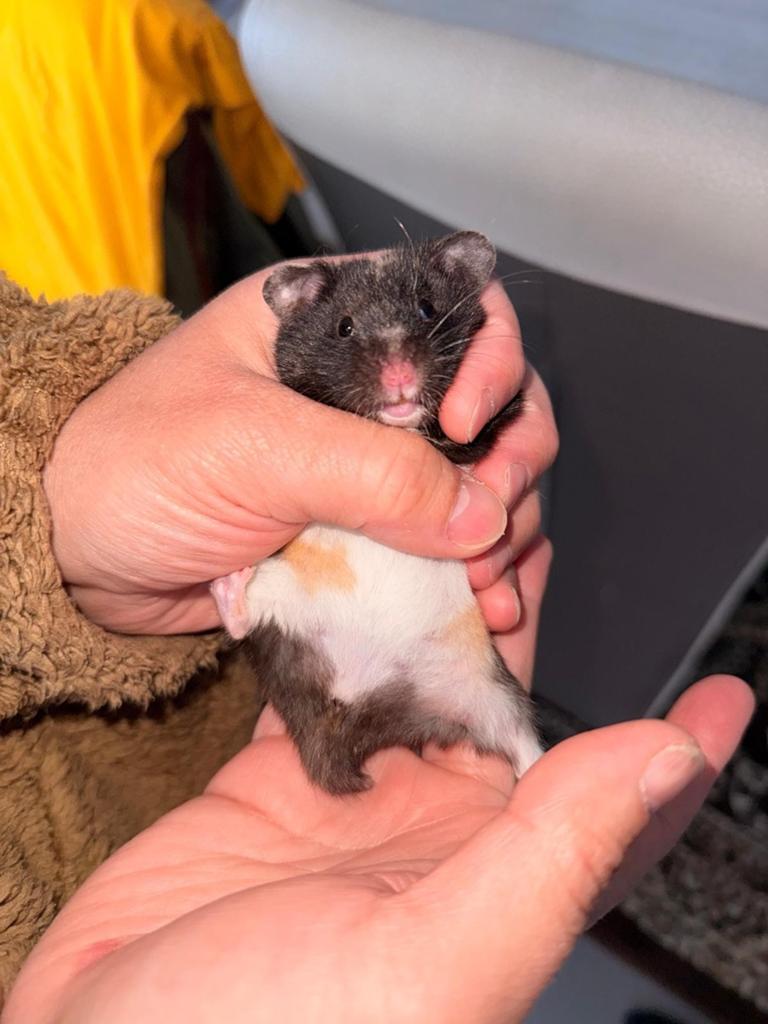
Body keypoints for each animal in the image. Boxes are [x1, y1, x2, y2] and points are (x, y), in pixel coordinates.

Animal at [211, 231, 542, 794]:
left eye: (427, 308)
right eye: (344, 326)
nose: (400, 377)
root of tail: (352, 706)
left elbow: (469, 435)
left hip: (490, 692)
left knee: (519, 739)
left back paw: (546, 771)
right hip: (282, 604)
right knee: (244, 618)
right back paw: (227, 582)